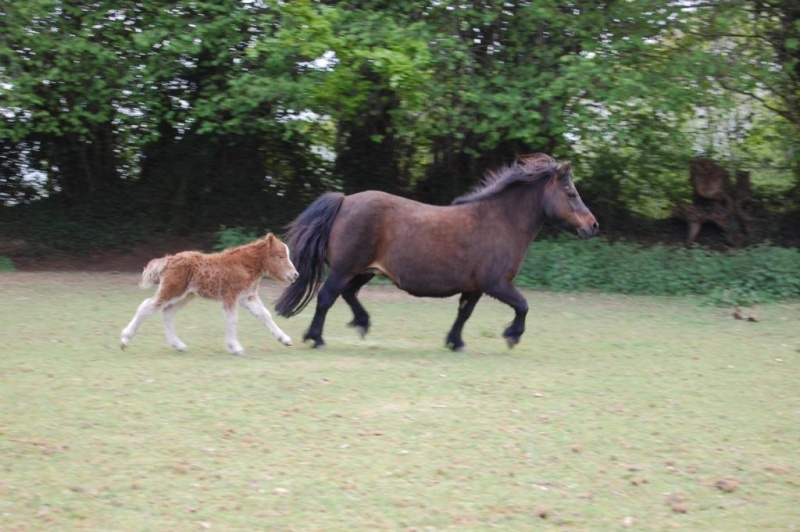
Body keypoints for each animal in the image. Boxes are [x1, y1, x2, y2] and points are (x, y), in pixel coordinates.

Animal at [278, 154, 596, 352]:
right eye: (571, 193)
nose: (593, 225)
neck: (501, 222)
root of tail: (344, 201)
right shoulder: (496, 284)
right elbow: (523, 305)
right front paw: (512, 336)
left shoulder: (475, 288)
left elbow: (464, 314)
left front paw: (455, 342)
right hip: (346, 269)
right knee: (326, 297)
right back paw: (316, 338)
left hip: (363, 271)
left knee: (347, 294)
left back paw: (362, 323)